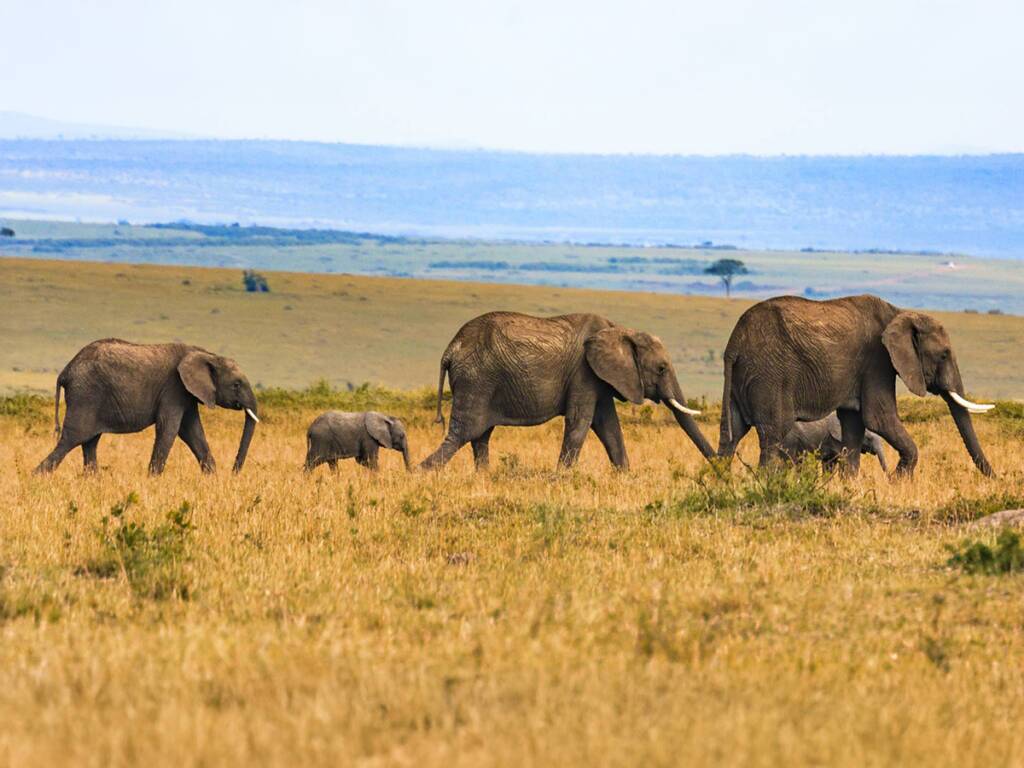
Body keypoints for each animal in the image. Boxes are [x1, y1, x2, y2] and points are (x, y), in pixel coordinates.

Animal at [34, 338, 259, 475]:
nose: (234, 472)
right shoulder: (173, 388)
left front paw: (212, 478)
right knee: (71, 439)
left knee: (90, 442)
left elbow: (193, 431)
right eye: (236, 385)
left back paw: (93, 481)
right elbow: (169, 429)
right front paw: (153, 479)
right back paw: (37, 477)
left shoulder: (186, 394)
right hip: (85, 396)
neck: (206, 354)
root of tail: (65, 371)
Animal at [419, 311, 714, 471]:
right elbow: (580, 422)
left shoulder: (599, 378)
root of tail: (450, 349)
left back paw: (485, 477)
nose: (721, 468)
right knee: (464, 433)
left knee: (479, 436)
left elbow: (609, 426)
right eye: (662, 368)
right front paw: (560, 478)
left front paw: (625, 475)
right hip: (476, 380)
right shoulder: (583, 372)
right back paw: (420, 473)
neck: (620, 329)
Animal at [717, 294, 994, 477]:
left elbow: (853, 425)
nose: (995, 477)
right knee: (772, 434)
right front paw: (898, 482)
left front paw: (849, 485)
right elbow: (878, 418)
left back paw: (721, 485)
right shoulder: (877, 361)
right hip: (770, 375)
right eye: (944, 355)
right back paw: (767, 485)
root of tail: (735, 342)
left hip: (743, 376)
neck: (899, 313)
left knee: (731, 434)